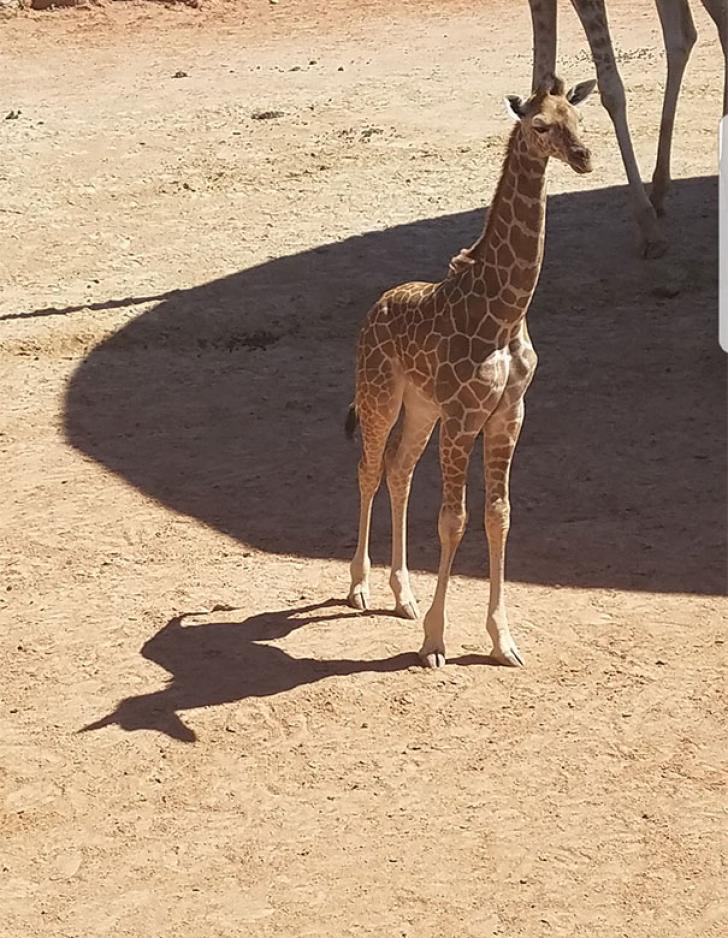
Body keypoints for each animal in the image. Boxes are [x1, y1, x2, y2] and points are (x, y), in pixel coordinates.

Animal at [346, 78, 596, 664]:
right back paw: (360, 587)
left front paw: (502, 639)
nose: (583, 156)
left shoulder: (509, 413)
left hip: (420, 408)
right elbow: (453, 519)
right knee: (369, 468)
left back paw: (403, 595)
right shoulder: (464, 415)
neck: (505, 311)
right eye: (539, 125)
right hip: (379, 395)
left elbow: (498, 514)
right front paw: (435, 640)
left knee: (399, 469)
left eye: (577, 117)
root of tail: (375, 308)